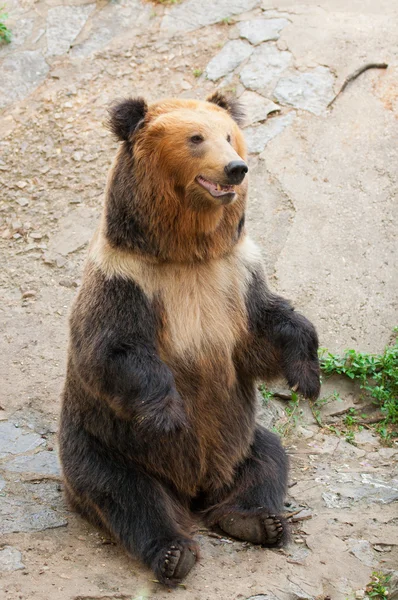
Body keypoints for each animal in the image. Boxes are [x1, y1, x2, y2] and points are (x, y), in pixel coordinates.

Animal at [59, 94, 320, 584]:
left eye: (229, 136)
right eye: (195, 138)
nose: (236, 168)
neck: (186, 254)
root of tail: (195, 489)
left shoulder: (235, 276)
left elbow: (266, 331)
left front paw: (307, 377)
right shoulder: (126, 282)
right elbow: (111, 351)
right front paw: (167, 414)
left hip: (239, 437)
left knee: (267, 460)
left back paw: (257, 521)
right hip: (105, 442)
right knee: (126, 494)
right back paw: (173, 552)